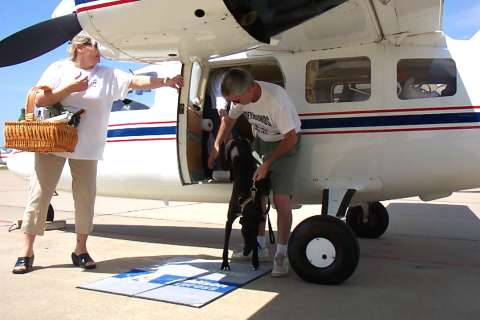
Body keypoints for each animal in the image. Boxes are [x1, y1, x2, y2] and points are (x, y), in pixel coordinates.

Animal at [221, 138, 270, 270]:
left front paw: (255, 261)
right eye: (245, 234)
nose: (246, 252)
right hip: (227, 154)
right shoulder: (229, 220)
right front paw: (225, 263)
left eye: (255, 234)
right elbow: (226, 244)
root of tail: (238, 138)